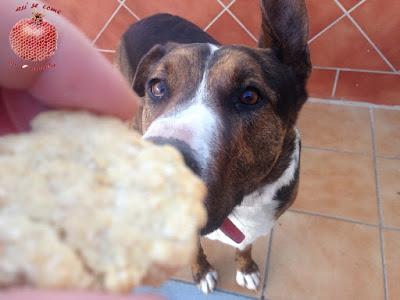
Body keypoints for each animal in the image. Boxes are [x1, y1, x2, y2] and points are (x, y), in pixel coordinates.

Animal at [115, 0, 310, 292]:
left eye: (250, 96)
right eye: (157, 87)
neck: (243, 203)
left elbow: (245, 245)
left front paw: (246, 267)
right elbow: (194, 249)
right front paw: (202, 271)